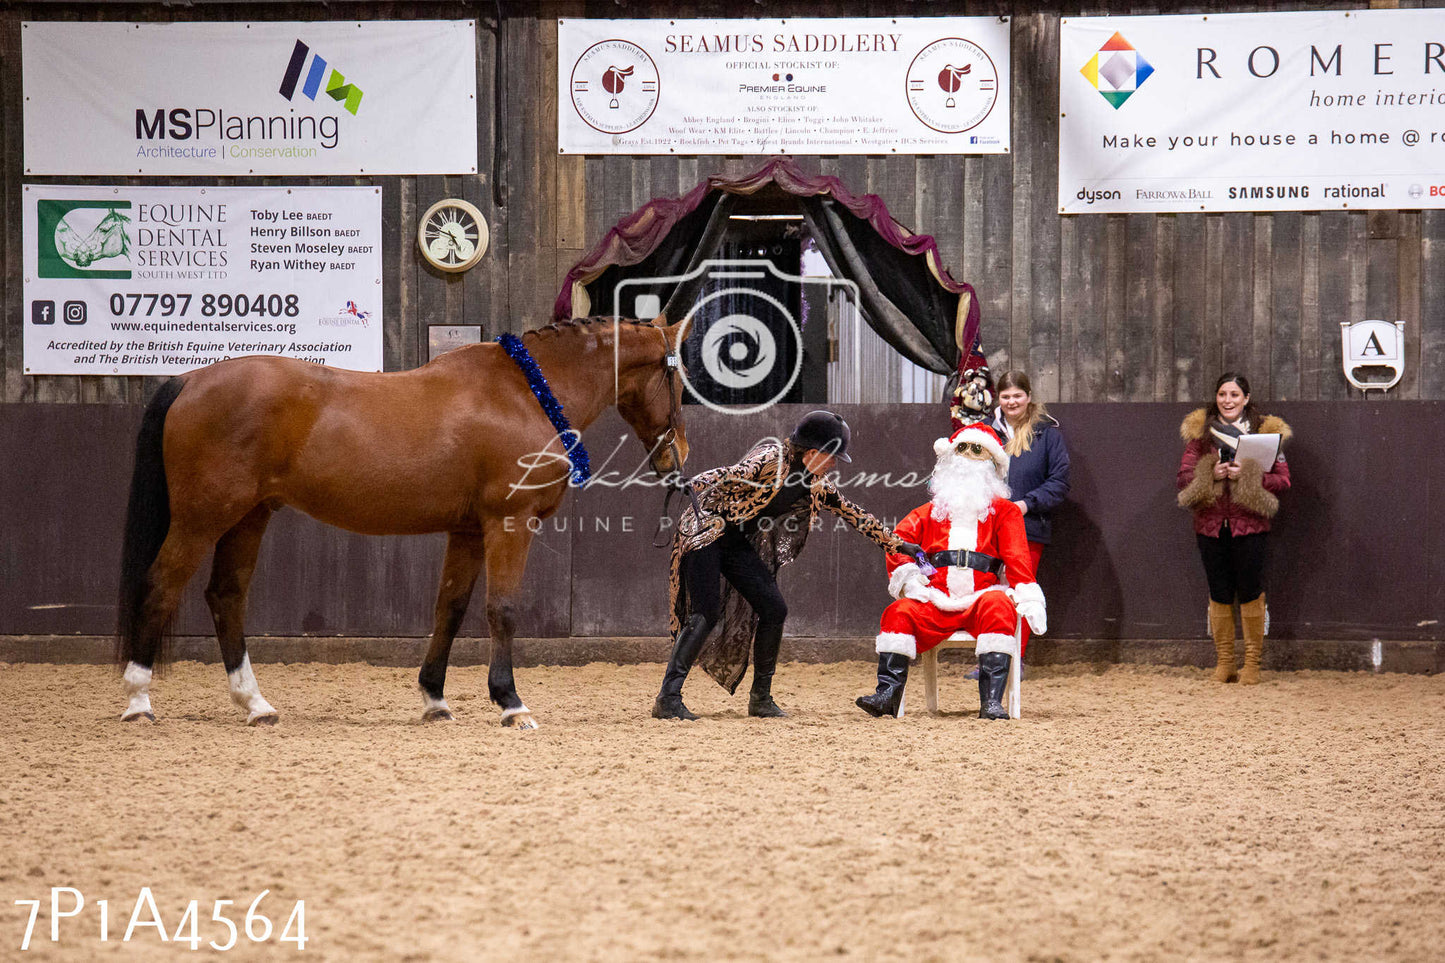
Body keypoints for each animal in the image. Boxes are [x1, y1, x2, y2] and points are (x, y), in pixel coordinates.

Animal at [112, 316, 687, 728]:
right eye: (676, 376)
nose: (677, 456)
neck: (525, 392)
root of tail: (190, 380)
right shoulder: (509, 523)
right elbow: (501, 610)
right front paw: (510, 702)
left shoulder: (467, 531)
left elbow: (449, 609)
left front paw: (435, 700)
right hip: (202, 518)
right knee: (160, 586)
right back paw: (139, 701)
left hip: (248, 518)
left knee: (226, 596)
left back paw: (256, 705)